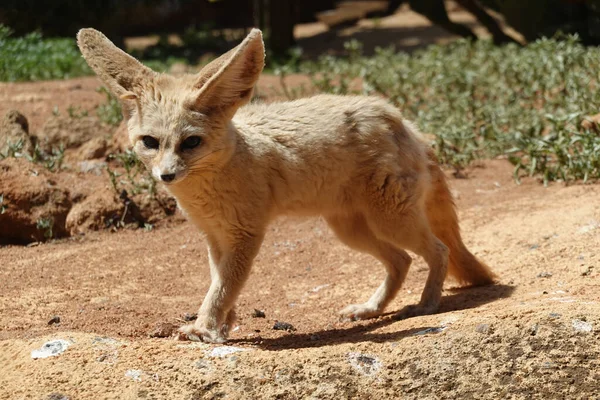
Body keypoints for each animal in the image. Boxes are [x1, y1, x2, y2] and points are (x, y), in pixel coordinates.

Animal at [76, 28, 496, 342]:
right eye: (150, 142)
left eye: (190, 143)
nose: (166, 175)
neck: (207, 194)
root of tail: (403, 121)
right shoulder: (216, 238)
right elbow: (221, 284)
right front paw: (223, 326)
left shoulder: (245, 234)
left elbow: (223, 287)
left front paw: (204, 327)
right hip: (352, 230)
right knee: (402, 260)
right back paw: (371, 309)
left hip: (390, 222)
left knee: (439, 250)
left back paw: (426, 305)